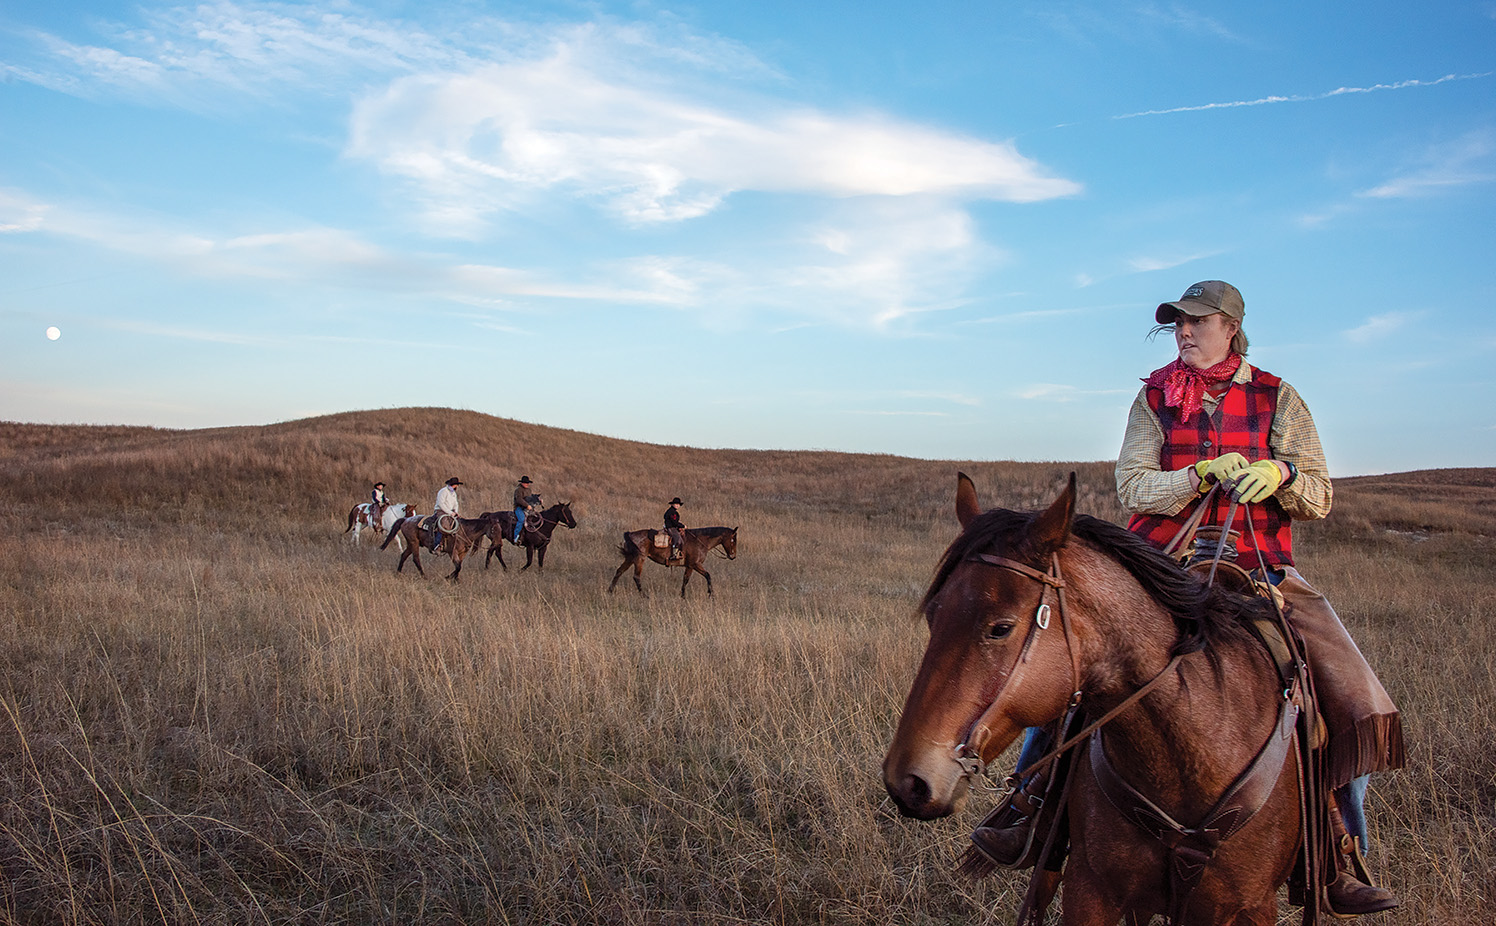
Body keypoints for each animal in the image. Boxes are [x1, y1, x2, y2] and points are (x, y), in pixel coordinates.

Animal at [607, 526, 736, 598]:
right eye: (733, 540)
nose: (733, 556)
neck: (700, 540)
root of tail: (629, 534)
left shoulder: (689, 566)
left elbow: (686, 579)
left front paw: (682, 595)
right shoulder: (695, 564)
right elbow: (708, 576)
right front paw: (711, 594)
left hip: (630, 558)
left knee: (619, 571)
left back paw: (610, 591)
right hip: (639, 558)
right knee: (636, 576)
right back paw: (644, 595)